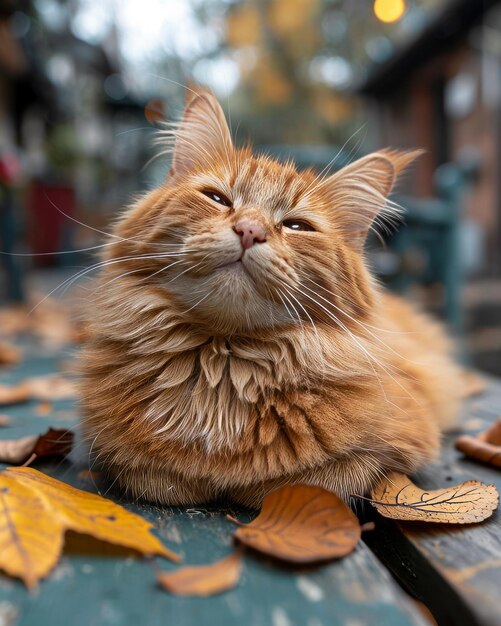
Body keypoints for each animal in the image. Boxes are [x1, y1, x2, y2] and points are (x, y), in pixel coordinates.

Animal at [79, 91, 460, 502]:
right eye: (217, 199)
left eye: (296, 226)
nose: (250, 230)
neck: (223, 368)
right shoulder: (115, 452)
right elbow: (159, 479)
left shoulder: (399, 447)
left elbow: (307, 482)